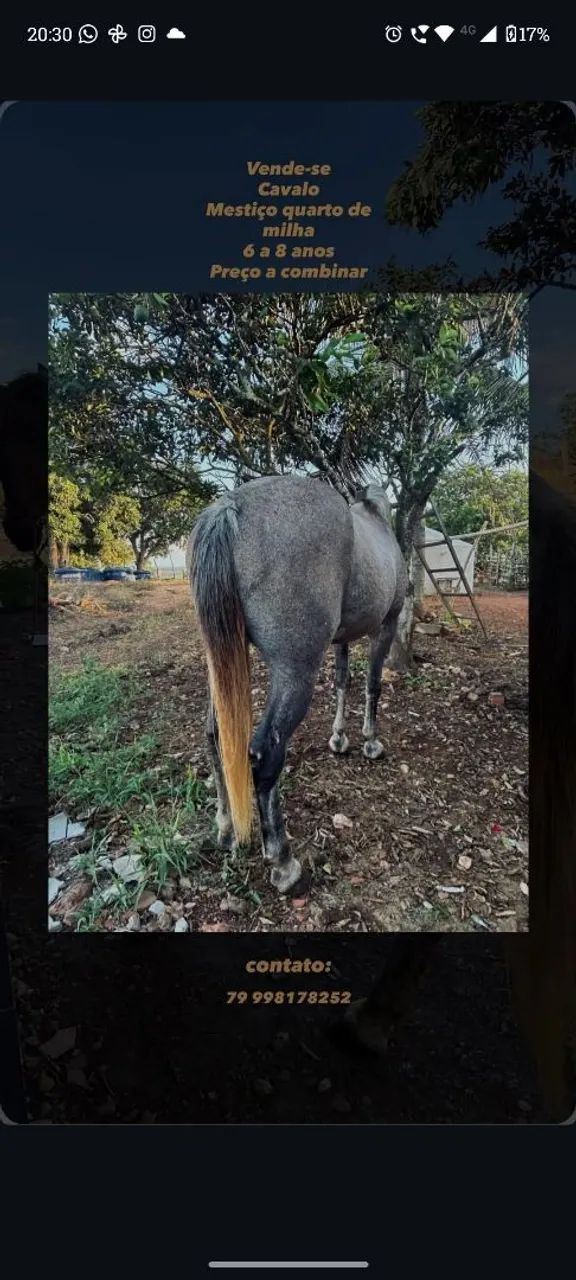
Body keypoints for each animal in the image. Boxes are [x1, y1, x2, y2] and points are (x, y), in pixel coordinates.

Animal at [187, 473, 408, 895]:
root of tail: (229, 509)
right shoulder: (385, 627)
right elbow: (372, 684)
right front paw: (371, 741)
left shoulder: (342, 638)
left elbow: (342, 682)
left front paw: (339, 737)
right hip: (295, 671)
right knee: (265, 754)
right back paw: (284, 862)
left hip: (220, 663)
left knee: (215, 735)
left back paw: (225, 829)